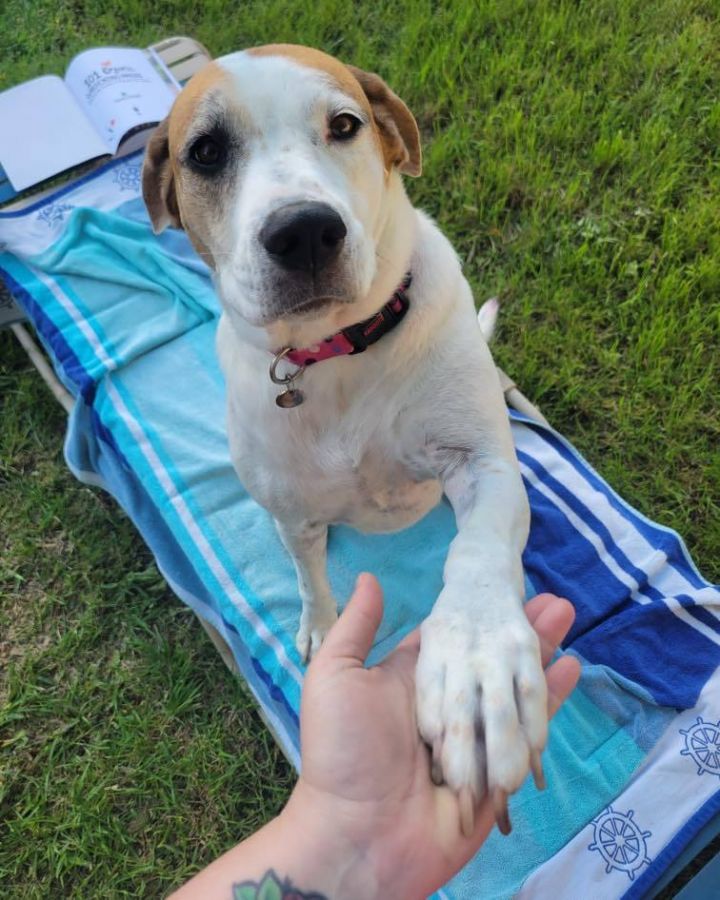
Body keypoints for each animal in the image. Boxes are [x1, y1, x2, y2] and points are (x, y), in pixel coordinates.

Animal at [141, 45, 544, 832]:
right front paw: (325, 630)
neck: (337, 352)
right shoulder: (290, 506)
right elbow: (308, 578)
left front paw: (476, 664)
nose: (302, 231)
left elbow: (478, 554)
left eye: (345, 124)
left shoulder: (482, 464)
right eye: (205, 152)